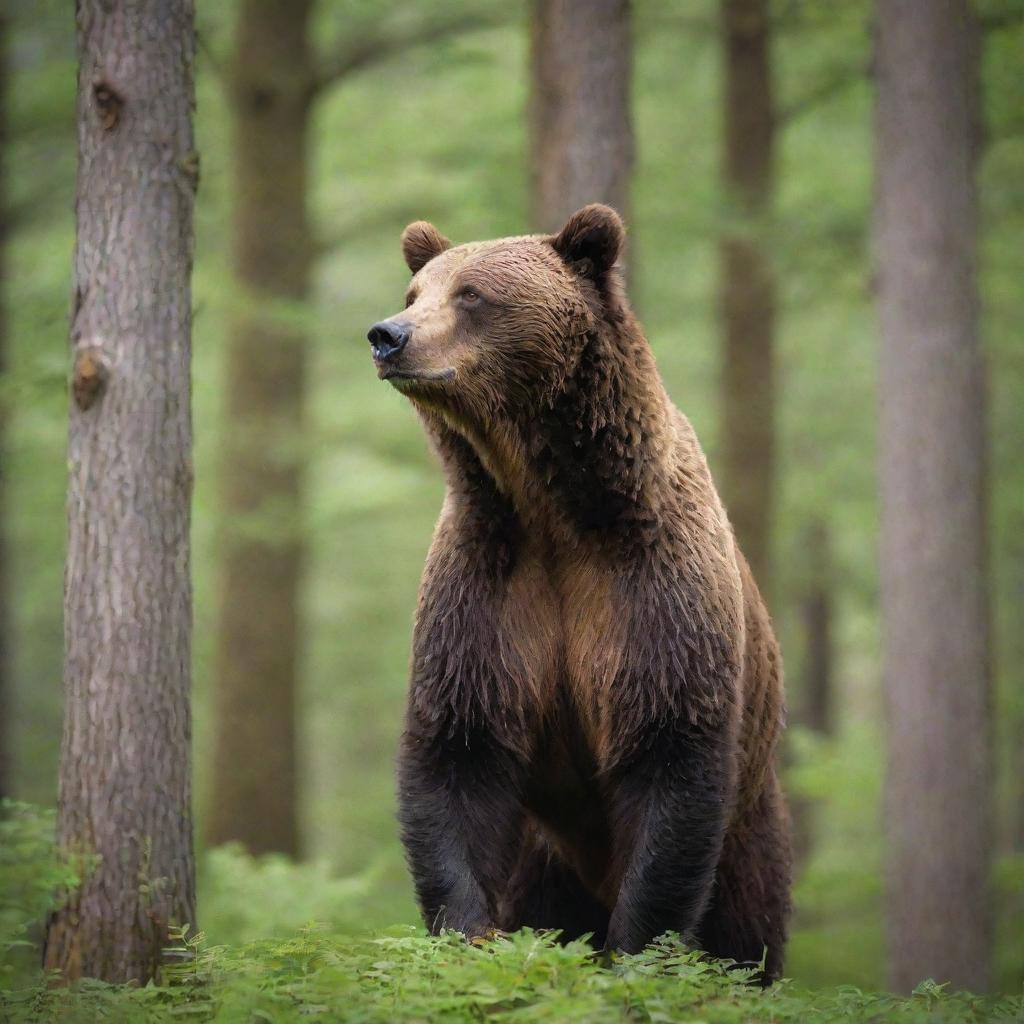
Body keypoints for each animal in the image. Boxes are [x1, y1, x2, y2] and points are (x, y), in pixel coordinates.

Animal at [368, 203, 790, 978]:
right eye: (415, 291)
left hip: (752, 820)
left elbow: (669, 753)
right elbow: (457, 752)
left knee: (750, 922)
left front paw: (637, 954)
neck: (551, 506)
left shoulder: (651, 586)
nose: (388, 335)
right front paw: (469, 938)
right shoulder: (488, 587)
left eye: (472, 294)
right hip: (546, 853)